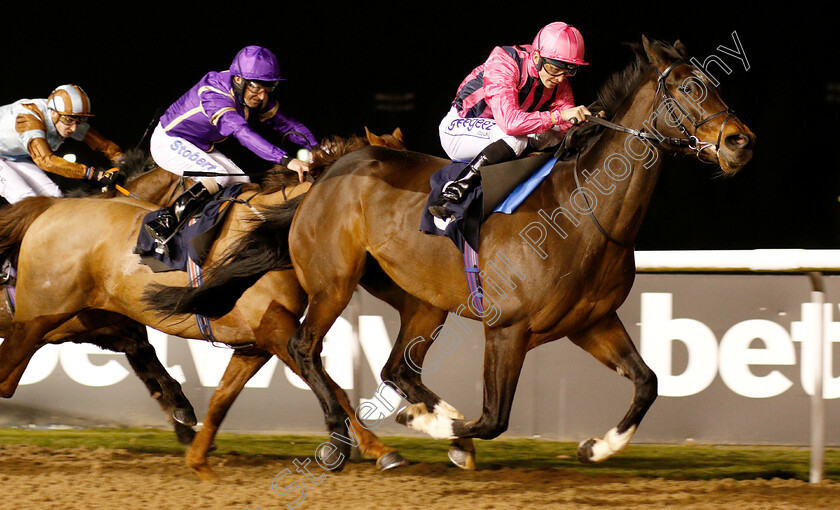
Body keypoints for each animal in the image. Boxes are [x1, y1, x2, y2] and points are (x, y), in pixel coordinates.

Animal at [0, 127, 410, 478]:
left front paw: (198, 457)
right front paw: (367, 448)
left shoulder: (255, 342)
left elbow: (221, 398)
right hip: (41, 316)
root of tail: (48, 208)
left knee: (10, 379)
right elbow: (333, 384)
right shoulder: (275, 329)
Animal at [149, 36, 756, 470]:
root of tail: (325, 172)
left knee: (395, 366)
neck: (584, 212)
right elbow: (492, 418)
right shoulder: (507, 328)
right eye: (688, 88)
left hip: (421, 299)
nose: (740, 142)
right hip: (333, 282)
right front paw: (433, 430)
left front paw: (595, 447)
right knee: (304, 347)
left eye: (712, 83)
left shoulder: (593, 322)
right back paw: (352, 442)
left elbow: (648, 383)